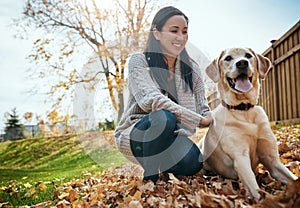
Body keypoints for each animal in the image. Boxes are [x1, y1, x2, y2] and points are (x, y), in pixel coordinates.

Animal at [198, 47, 298, 200]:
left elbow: (293, 178)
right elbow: (256, 190)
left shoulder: (273, 161)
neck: (244, 111)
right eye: (228, 58)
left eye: (248, 56)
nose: (242, 63)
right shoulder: (240, 157)